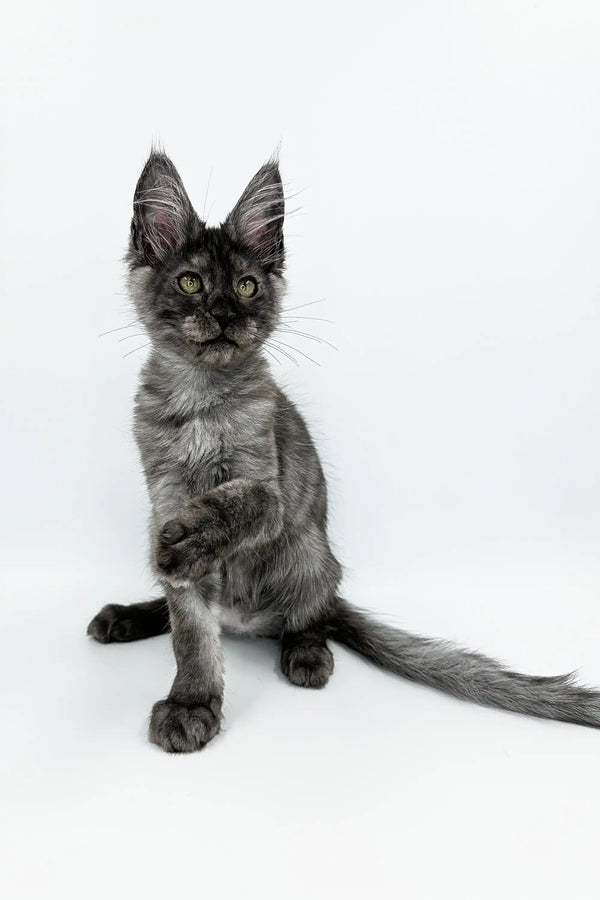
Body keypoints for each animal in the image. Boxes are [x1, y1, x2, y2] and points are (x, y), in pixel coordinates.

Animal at [88, 149, 600, 752]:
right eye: (190, 282)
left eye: (246, 287)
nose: (226, 314)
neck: (202, 399)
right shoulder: (165, 497)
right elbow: (190, 628)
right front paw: (193, 701)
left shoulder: (266, 490)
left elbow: (237, 504)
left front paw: (190, 546)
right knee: (180, 604)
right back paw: (127, 616)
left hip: (310, 552)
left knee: (310, 618)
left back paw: (307, 653)